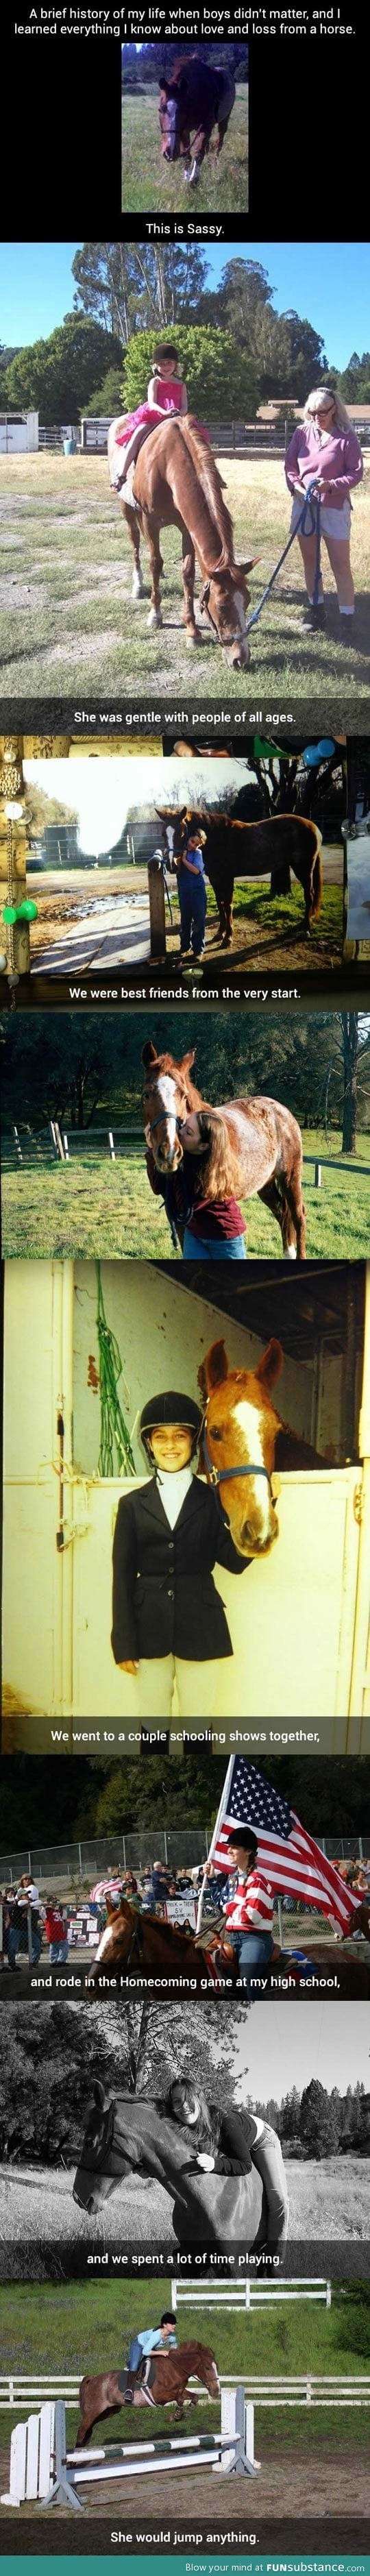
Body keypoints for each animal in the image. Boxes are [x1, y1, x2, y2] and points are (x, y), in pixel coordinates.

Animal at [75, 2349, 219, 2442]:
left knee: (89, 2428)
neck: (175, 2369)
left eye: (216, 2367)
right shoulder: (160, 2396)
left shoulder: (179, 2390)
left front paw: (184, 2414)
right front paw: (176, 2416)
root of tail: (93, 2379)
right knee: (82, 2430)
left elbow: (194, 2396)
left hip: (110, 2411)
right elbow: (180, 2399)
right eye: (207, 2368)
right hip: (93, 2411)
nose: (216, 2391)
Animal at [118, 417, 257, 670]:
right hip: (128, 509)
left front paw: (192, 631)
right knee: (135, 543)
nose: (240, 659)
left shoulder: (186, 527)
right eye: (222, 606)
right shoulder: (150, 521)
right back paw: (139, 585)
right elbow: (155, 562)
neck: (167, 464)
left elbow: (188, 574)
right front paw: (155, 614)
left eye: (248, 601)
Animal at [141, 1035, 306, 1257]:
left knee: (298, 1216)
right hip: (266, 1183)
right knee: (282, 1212)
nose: (169, 1153)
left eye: (184, 1096)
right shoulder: (181, 1219)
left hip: (290, 1177)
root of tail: (281, 1110)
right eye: (146, 1095)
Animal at [160, 803, 322, 948]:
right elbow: (220, 905)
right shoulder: (215, 879)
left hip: (304, 870)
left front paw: (228, 938)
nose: (172, 865)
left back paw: (306, 928)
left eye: (182, 833)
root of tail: (313, 827)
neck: (217, 838)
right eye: (163, 834)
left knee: (310, 895)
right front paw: (220, 934)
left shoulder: (227, 878)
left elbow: (228, 906)